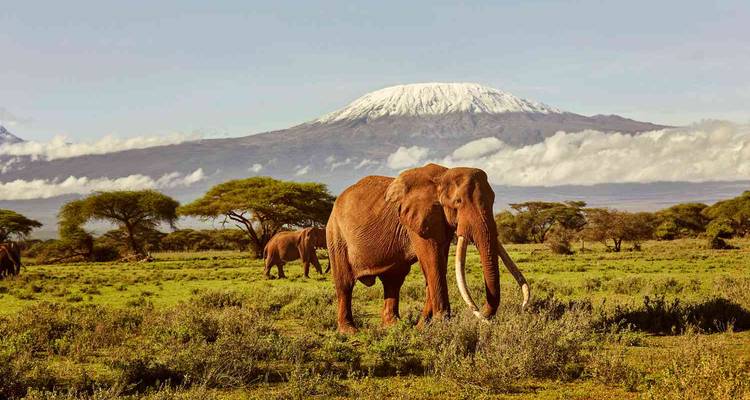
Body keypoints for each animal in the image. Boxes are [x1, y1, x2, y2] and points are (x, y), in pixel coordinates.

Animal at [326, 163, 530, 333]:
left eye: (494, 200)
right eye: (458, 202)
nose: (523, 307)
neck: (443, 176)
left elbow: (438, 262)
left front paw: (423, 326)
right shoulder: (418, 219)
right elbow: (432, 261)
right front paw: (441, 323)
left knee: (393, 281)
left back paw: (393, 326)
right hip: (335, 234)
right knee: (345, 283)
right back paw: (349, 331)